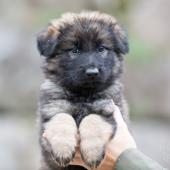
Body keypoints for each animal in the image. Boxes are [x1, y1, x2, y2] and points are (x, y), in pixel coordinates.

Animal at [36, 11, 128, 170]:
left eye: (101, 49)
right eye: (75, 50)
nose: (92, 73)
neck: (83, 95)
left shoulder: (107, 106)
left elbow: (93, 120)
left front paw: (92, 153)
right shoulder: (52, 108)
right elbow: (62, 118)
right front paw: (63, 149)